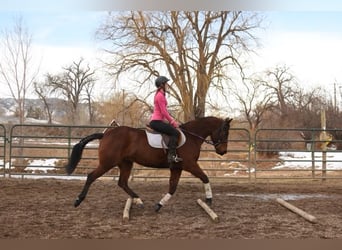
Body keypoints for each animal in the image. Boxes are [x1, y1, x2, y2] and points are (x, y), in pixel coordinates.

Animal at [65, 115, 232, 211]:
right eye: (225, 131)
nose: (223, 151)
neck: (191, 137)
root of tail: (105, 134)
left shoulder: (177, 167)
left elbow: (172, 188)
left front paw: (159, 205)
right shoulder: (189, 165)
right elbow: (205, 177)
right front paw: (209, 200)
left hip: (126, 163)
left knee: (122, 183)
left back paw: (138, 201)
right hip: (108, 163)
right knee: (91, 176)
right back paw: (78, 201)